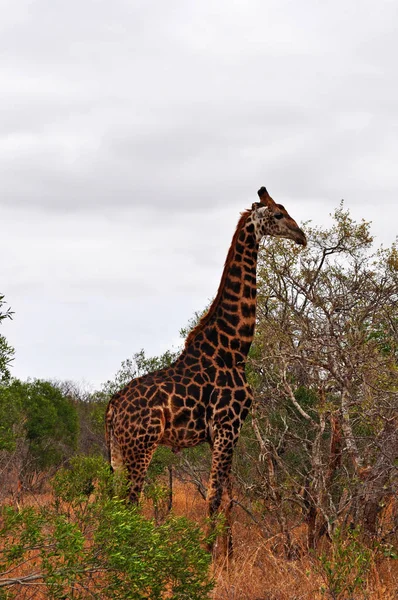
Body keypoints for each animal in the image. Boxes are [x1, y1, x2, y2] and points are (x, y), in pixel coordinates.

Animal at [104, 186, 306, 552]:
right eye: (278, 214)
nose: (302, 236)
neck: (234, 348)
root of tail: (112, 407)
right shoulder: (228, 425)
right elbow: (213, 497)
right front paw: (208, 557)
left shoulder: (221, 433)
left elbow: (227, 498)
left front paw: (226, 555)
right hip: (141, 446)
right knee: (129, 502)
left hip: (117, 452)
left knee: (113, 502)